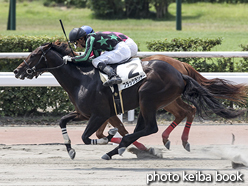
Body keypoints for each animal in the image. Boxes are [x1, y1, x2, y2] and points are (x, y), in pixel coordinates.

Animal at [14, 42, 244, 160]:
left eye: (33, 55)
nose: (17, 71)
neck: (81, 78)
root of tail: (180, 72)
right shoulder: (85, 113)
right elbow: (63, 121)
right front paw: (70, 150)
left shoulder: (100, 114)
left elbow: (89, 137)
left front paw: (114, 139)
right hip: (157, 101)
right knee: (181, 113)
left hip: (148, 98)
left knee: (152, 126)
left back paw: (121, 149)